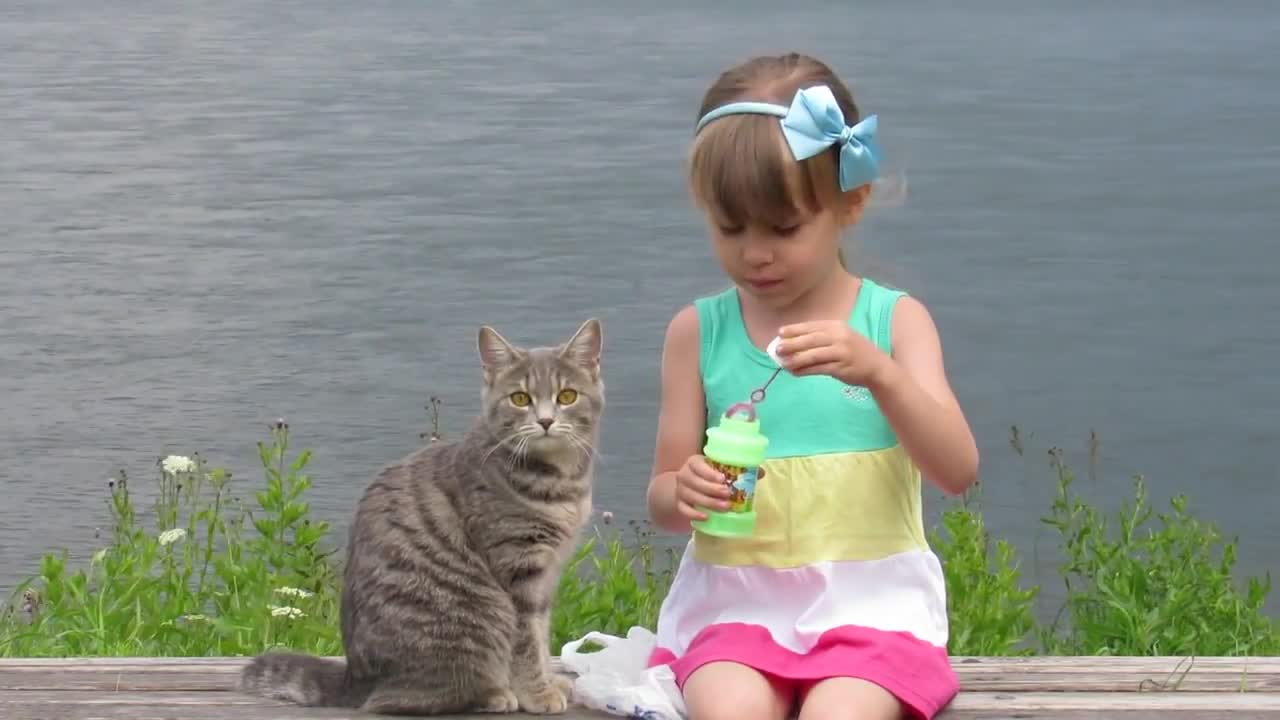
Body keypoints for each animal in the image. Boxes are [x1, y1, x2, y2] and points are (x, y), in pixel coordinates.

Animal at [240, 319, 604, 712]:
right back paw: (493, 694)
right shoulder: (518, 570)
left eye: (567, 396)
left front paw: (549, 681)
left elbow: (541, 634)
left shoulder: (547, 574)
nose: (546, 421)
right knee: (415, 696)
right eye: (520, 399)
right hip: (479, 615)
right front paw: (537, 693)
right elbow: (527, 643)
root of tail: (356, 682)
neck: (557, 479)